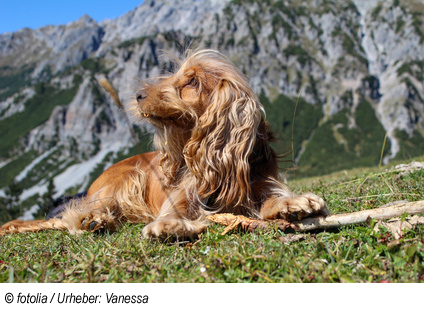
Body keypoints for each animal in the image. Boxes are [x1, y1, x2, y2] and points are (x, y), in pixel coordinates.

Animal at [0, 50, 330, 240]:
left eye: (192, 81)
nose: (139, 96)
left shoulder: (261, 182)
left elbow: (272, 198)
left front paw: (293, 203)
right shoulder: (180, 196)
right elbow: (174, 214)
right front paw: (170, 226)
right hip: (122, 183)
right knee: (76, 213)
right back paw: (93, 220)